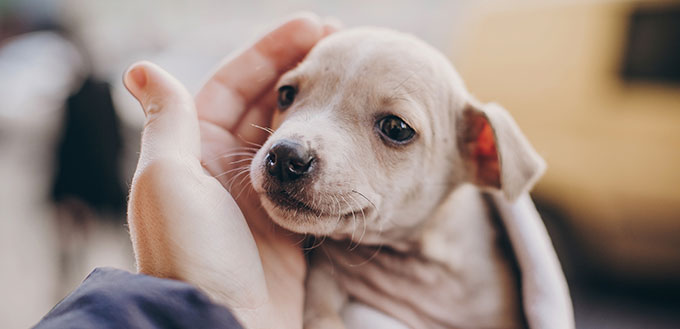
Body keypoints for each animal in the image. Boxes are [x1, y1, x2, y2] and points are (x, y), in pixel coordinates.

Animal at [250, 27, 564, 328]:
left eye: (396, 128)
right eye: (285, 95)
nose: (285, 157)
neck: (415, 259)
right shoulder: (323, 285)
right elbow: (320, 314)